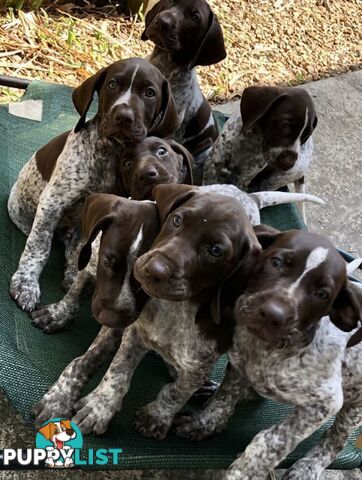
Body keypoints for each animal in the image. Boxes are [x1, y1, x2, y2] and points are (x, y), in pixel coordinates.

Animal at [8, 57, 178, 312]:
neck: (109, 153)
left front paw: (74, 275)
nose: (123, 116)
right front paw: (26, 284)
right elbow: (39, 246)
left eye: (150, 93)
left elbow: (82, 247)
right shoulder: (53, 201)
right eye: (112, 84)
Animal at [30, 194, 160, 334]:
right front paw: (58, 315)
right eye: (106, 263)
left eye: (146, 278)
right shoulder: (89, 265)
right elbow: (74, 292)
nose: (109, 319)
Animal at [175, 225, 362, 480]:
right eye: (276, 262)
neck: (267, 350)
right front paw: (206, 421)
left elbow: (270, 443)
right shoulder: (240, 363)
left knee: (336, 439)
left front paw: (244, 471)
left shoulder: (324, 403)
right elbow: (226, 395)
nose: (274, 314)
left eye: (322, 294)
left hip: (354, 405)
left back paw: (309, 466)